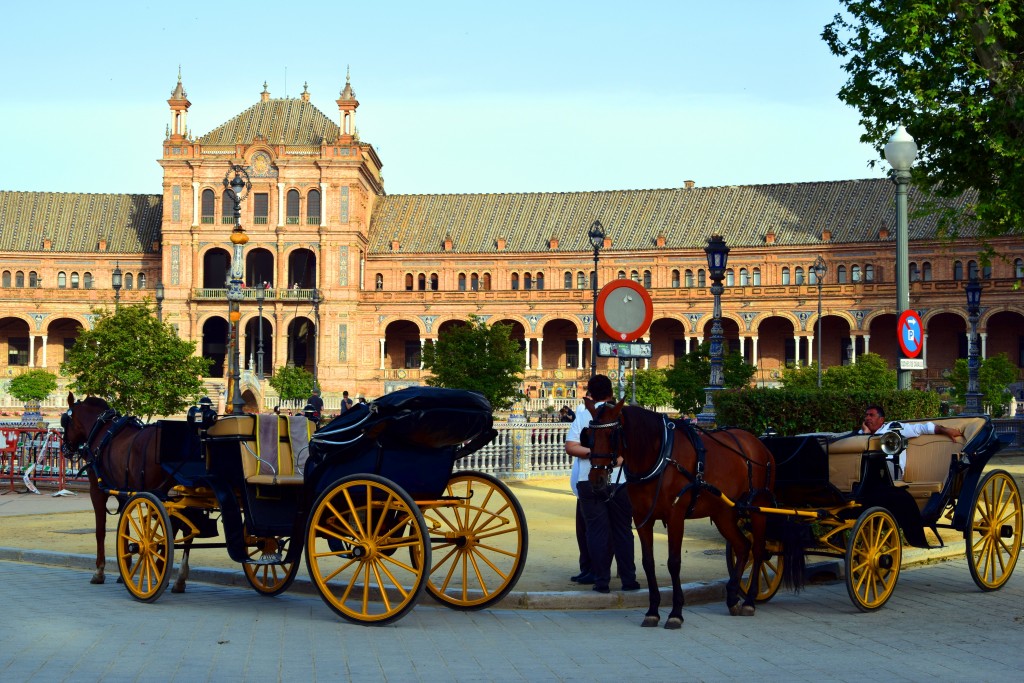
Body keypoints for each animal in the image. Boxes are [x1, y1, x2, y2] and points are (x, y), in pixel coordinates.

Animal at [60, 395, 192, 593]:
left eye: (64, 422)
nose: (65, 449)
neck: (102, 431)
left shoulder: (97, 491)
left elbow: (100, 531)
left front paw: (99, 571)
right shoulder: (124, 493)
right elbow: (125, 527)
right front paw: (126, 569)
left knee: (174, 526)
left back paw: (160, 568)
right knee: (186, 528)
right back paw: (177, 578)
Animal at [585, 401, 774, 630]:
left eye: (611, 434)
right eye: (590, 436)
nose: (596, 479)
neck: (659, 456)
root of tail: (758, 443)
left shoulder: (675, 517)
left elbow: (673, 562)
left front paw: (676, 613)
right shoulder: (642, 519)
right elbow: (648, 562)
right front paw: (652, 611)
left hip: (759, 509)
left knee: (758, 550)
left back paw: (749, 600)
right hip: (723, 513)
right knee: (743, 547)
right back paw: (731, 598)